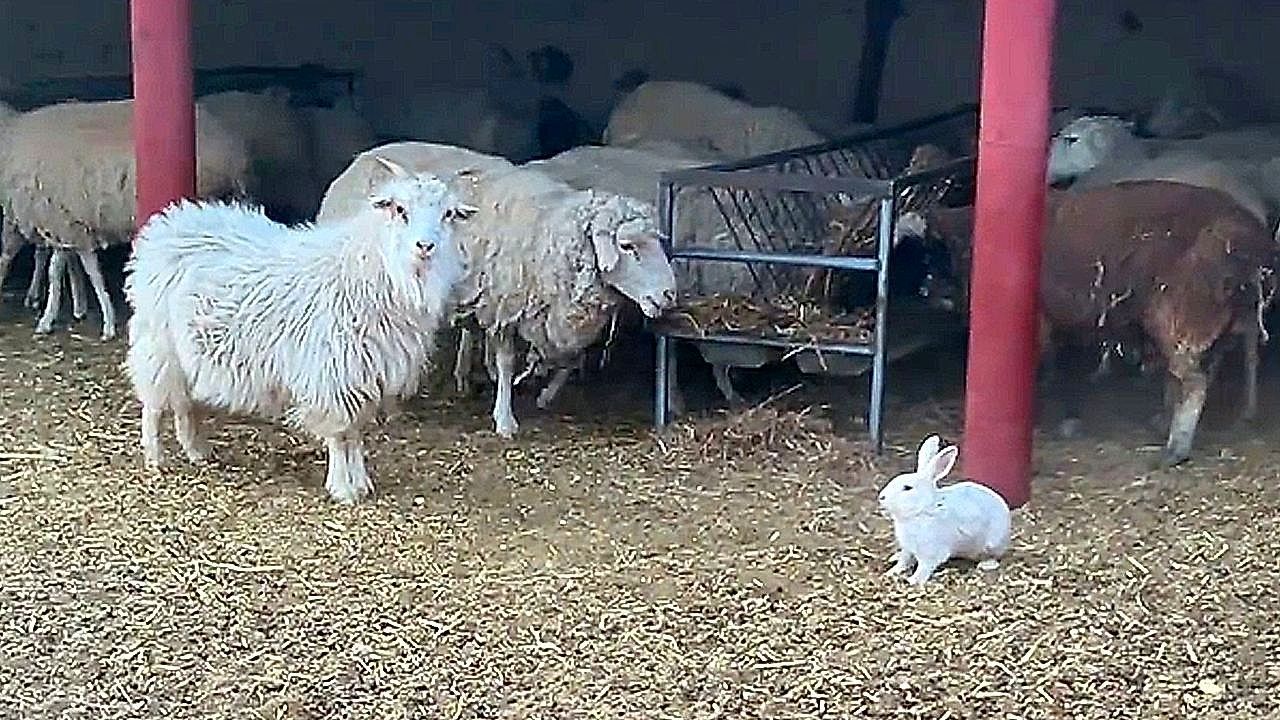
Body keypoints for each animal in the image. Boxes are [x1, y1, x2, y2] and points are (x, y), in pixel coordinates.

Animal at [877, 434, 1012, 585]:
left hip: (992, 544)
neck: (922, 509)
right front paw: (891, 572)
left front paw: (913, 580)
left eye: (907, 488)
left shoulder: (930, 553)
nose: (881, 497)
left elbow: (924, 567)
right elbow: (903, 561)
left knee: (992, 556)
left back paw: (986, 564)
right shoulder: (907, 549)